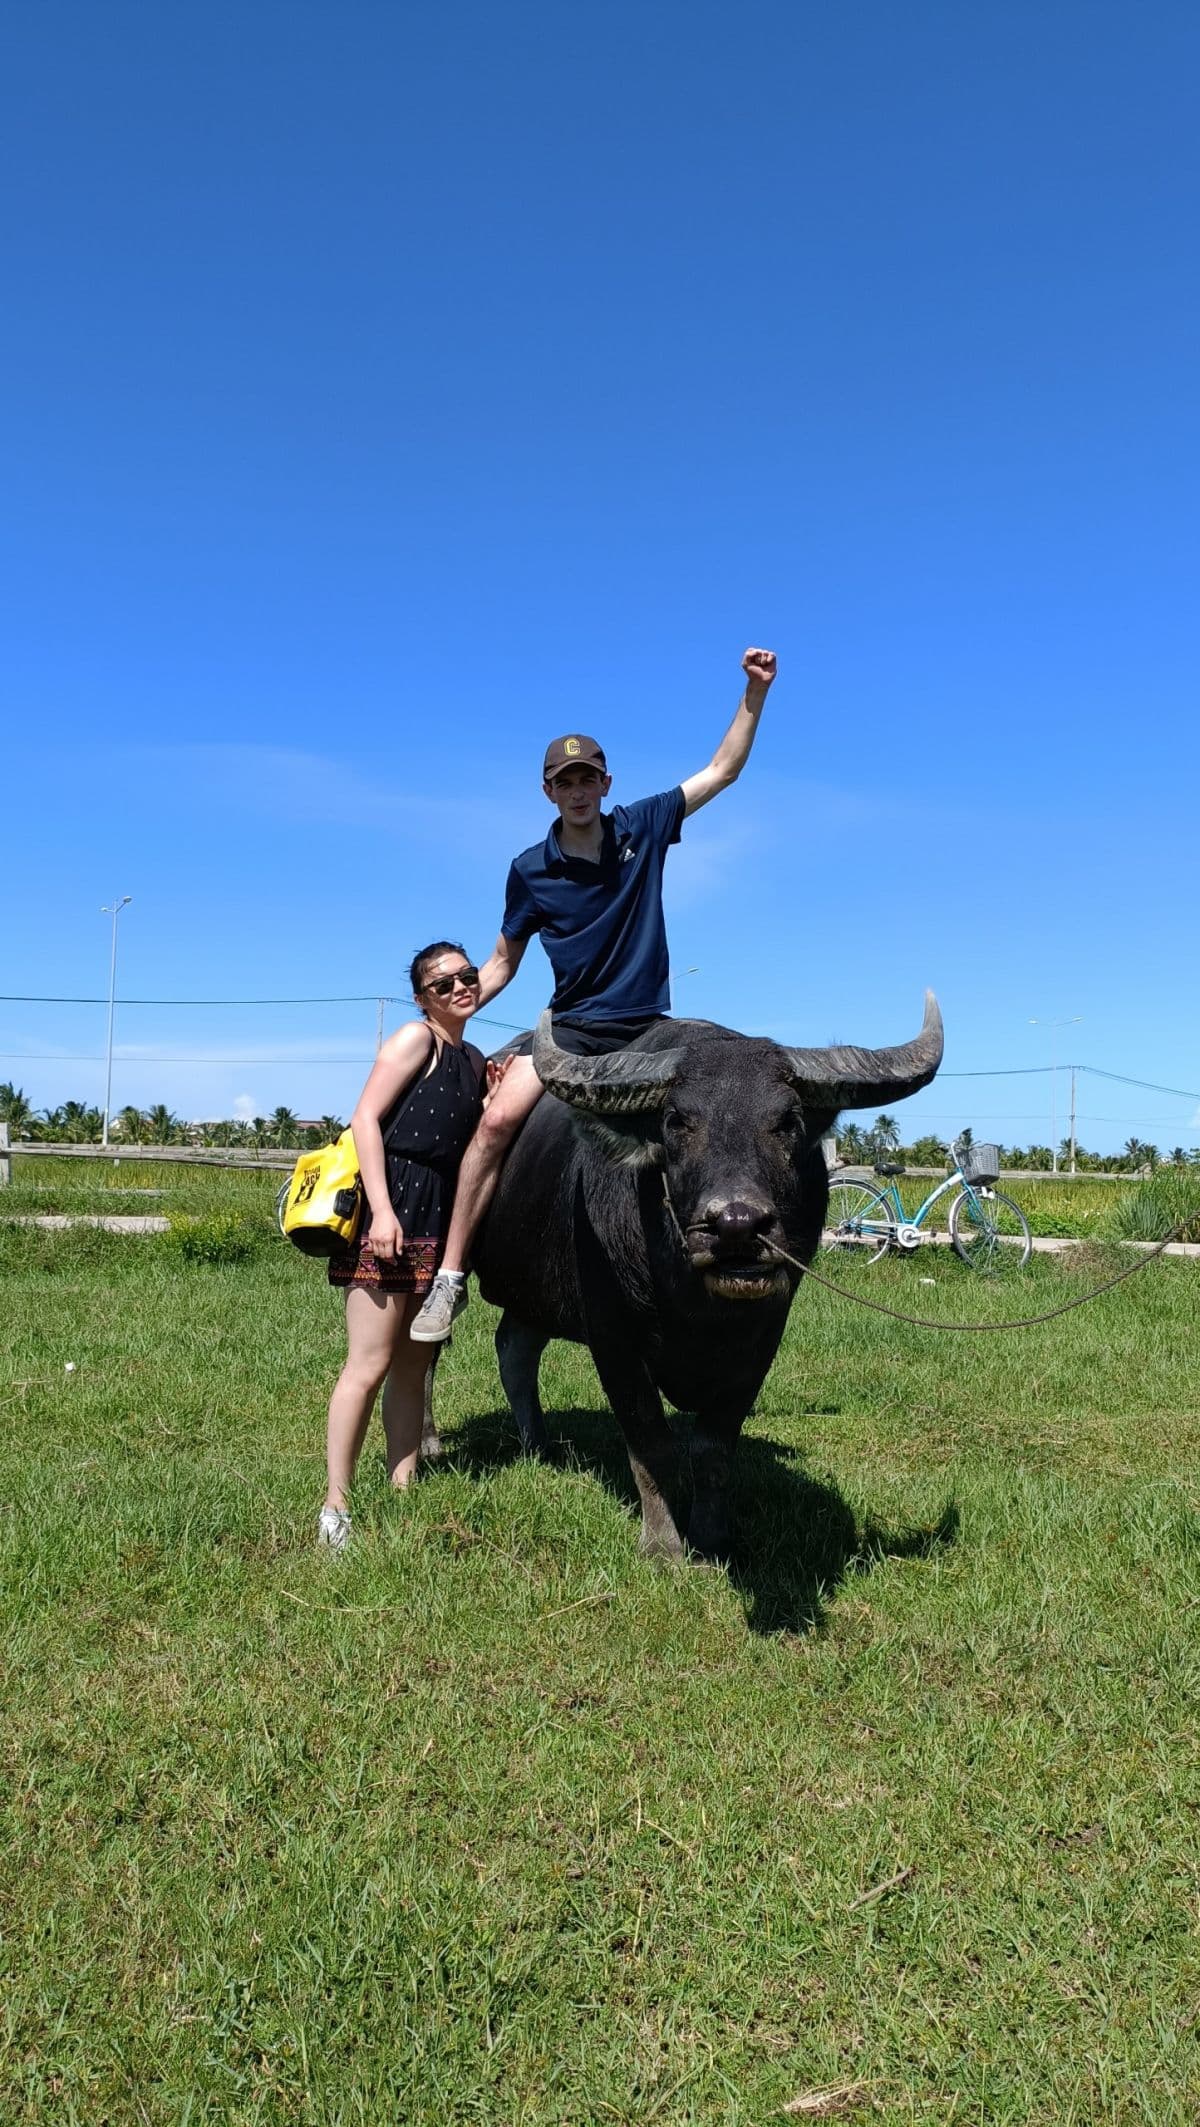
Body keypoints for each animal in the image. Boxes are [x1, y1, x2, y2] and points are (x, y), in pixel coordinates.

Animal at [472, 996, 943, 1562]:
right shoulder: (613, 1338)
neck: (696, 1308)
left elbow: (714, 1448)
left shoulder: (762, 1339)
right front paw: (663, 1546)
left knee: (515, 1349)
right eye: (677, 1120)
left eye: (787, 1120)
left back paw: (537, 1446)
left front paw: (712, 1539)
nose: (736, 1226)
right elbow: (650, 1441)